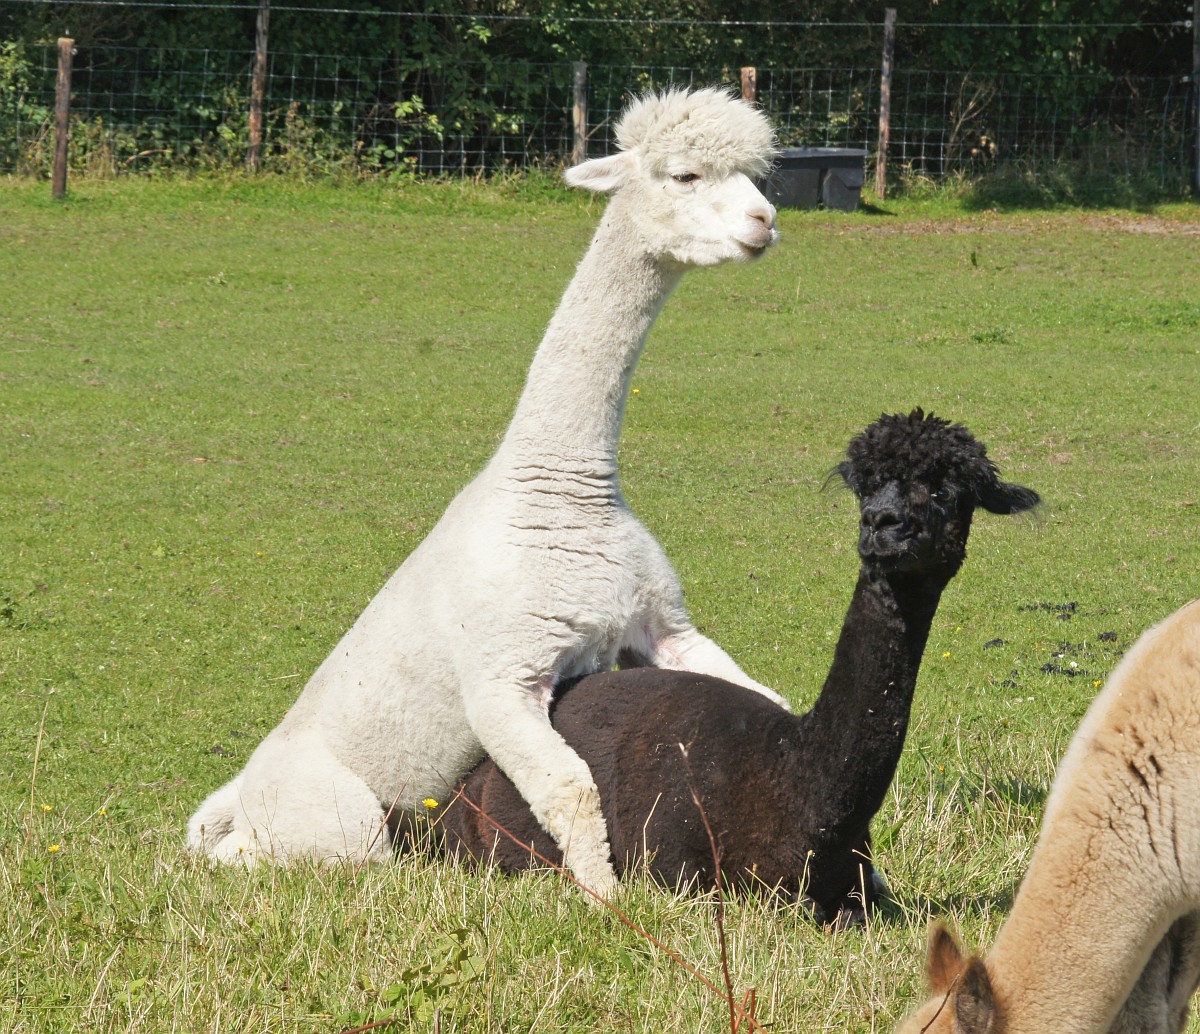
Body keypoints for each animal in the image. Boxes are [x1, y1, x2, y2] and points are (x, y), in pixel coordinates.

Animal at [187, 87, 787, 897]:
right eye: (685, 175)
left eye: (759, 177)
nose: (765, 221)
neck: (562, 496)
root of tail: (245, 787)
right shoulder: (503, 676)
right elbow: (569, 790)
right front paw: (607, 900)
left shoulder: (660, 623)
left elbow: (769, 700)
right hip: (338, 818)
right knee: (281, 855)